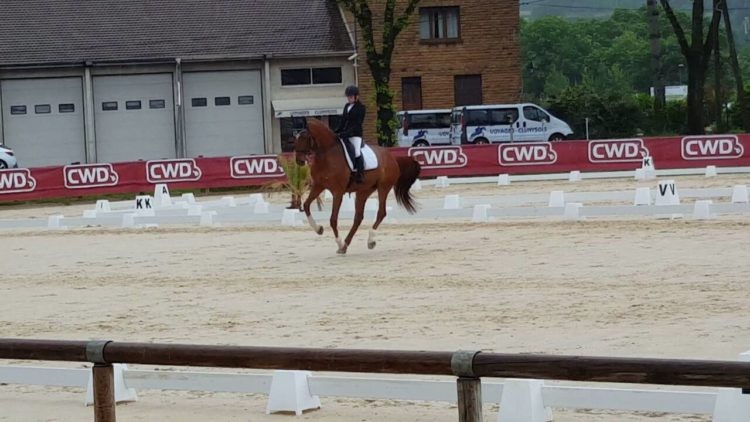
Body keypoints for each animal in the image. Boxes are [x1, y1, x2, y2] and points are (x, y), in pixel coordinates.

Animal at [294, 118, 421, 254]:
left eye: (304, 137)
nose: (298, 161)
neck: (327, 154)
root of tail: (393, 158)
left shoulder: (337, 192)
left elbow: (333, 219)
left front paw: (338, 242)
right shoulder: (319, 186)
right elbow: (306, 205)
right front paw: (319, 229)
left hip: (383, 188)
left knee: (381, 213)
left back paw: (369, 241)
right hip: (363, 191)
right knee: (358, 217)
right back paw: (346, 244)